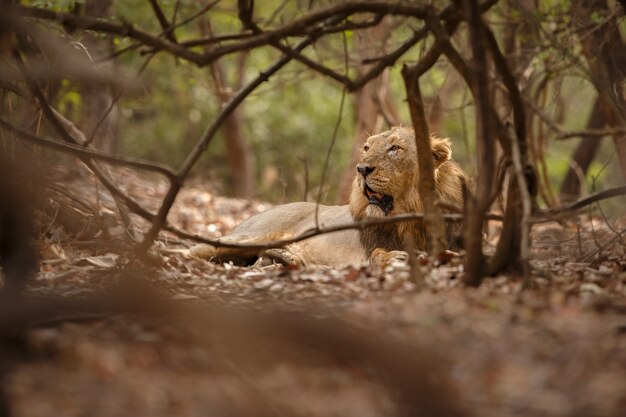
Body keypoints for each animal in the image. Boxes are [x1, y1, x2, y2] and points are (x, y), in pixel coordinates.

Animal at [190, 125, 468, 266]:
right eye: (367, 147)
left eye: (394, 148)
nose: (362, 169)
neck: (410, 219)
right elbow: (377, 255)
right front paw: (394, 257)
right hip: (248, 237)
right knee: (193, 250)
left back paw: (281, 258)